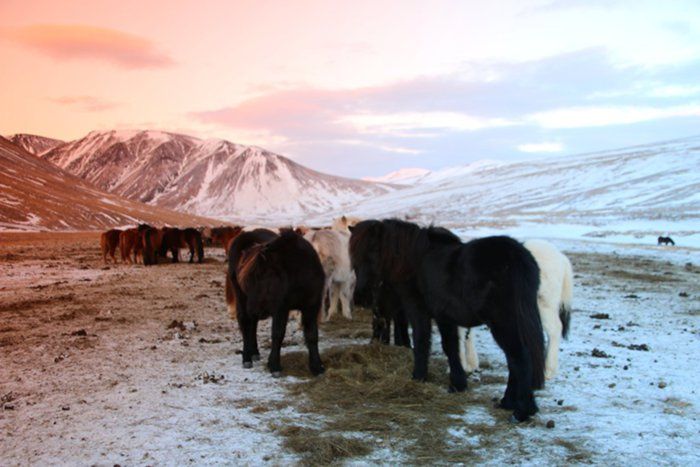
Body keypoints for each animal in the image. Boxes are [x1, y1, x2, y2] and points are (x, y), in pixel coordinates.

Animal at [230, 229, 328, 378]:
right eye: (247, 280)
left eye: (260, 279)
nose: (251, 310)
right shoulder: (280, 309)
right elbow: (277, 334)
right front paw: (275, 366)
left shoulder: (311, 307)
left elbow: (312, 335)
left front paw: (317, 366)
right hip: (241, 297)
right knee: (246, 323)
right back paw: (247, 357)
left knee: (252, 324)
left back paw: (254, 352)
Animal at [350, 220, 548, 424]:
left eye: (372, 251)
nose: (360, 297)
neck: (415, 262)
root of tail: (517, 256)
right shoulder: (446, 318)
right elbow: (452, 347)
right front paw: (458, 384)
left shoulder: (421, 312)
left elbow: (424, 343)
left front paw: (420, 377)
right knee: (514, 360)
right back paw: (508, 402)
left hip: (503, 323)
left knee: (520, 359)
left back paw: (521, 411)